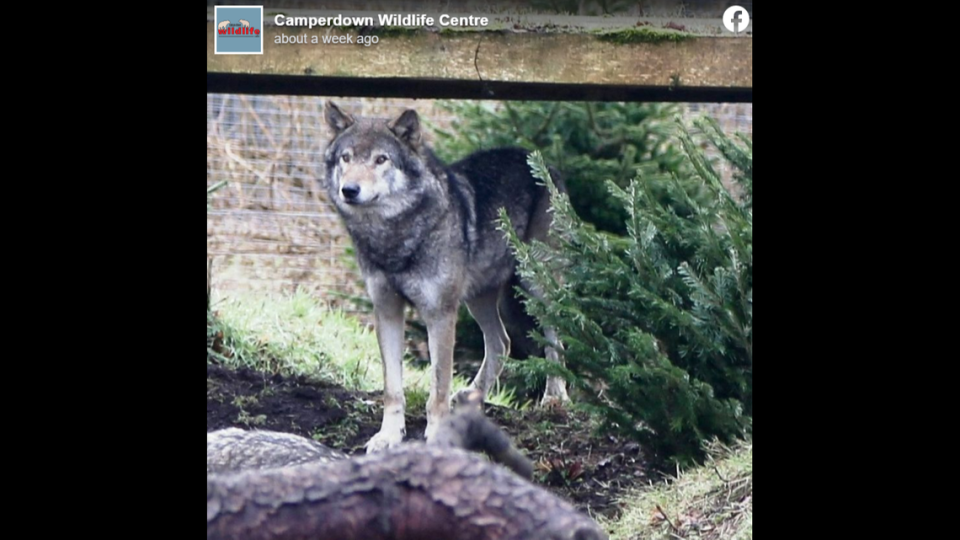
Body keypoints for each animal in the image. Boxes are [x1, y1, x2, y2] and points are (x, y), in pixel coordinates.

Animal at [322, 100, 568, 452]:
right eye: (346, 157)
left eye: (381, 159)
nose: (349, 190)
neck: (396, 237)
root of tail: (542, 161)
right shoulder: (386, 310)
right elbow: (392, 388)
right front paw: (388, 436)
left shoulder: (439, 313)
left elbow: (437, 386)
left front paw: (438, 435)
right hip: (479, 299)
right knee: (502, 343)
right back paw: (471, 396)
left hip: (536, 285)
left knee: (555, 336)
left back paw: (555, 398)